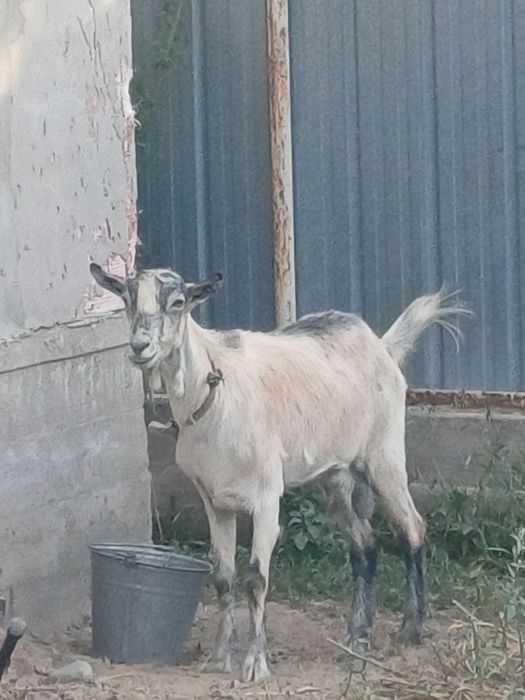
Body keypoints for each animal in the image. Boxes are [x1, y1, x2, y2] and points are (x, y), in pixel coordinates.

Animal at [90, 263, 468, 682]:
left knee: (411, 528)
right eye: (126, 298)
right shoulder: (213, 500)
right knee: (365, 544)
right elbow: (223, 576)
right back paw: (357, 637)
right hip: (334, 477)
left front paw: (256, 664)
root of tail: (381, 345)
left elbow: (257, 579)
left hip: (383, 454)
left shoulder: (267, 497)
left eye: (178, 302)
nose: (140, 347)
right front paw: (219, 657)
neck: (215, 392)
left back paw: (411, 629)